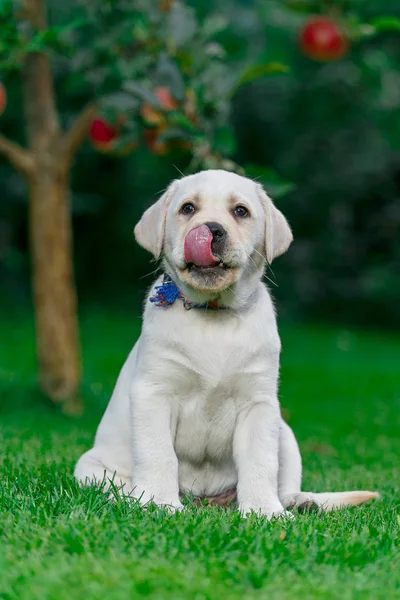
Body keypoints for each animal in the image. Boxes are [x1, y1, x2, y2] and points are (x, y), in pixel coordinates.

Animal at [75, 171, 378, 516]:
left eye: (240, 211)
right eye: (188, 208)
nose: (211, 230)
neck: (213, 312)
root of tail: (205, 499)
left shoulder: (258, 402)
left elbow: (261, 461)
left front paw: (264, 511)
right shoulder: (154, 392)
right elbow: (158, 454)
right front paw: (160, 503)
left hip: (284, 433)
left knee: (284, 482)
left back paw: (300, 502)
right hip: (90, 468)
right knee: (113, 485)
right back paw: (129, 498)